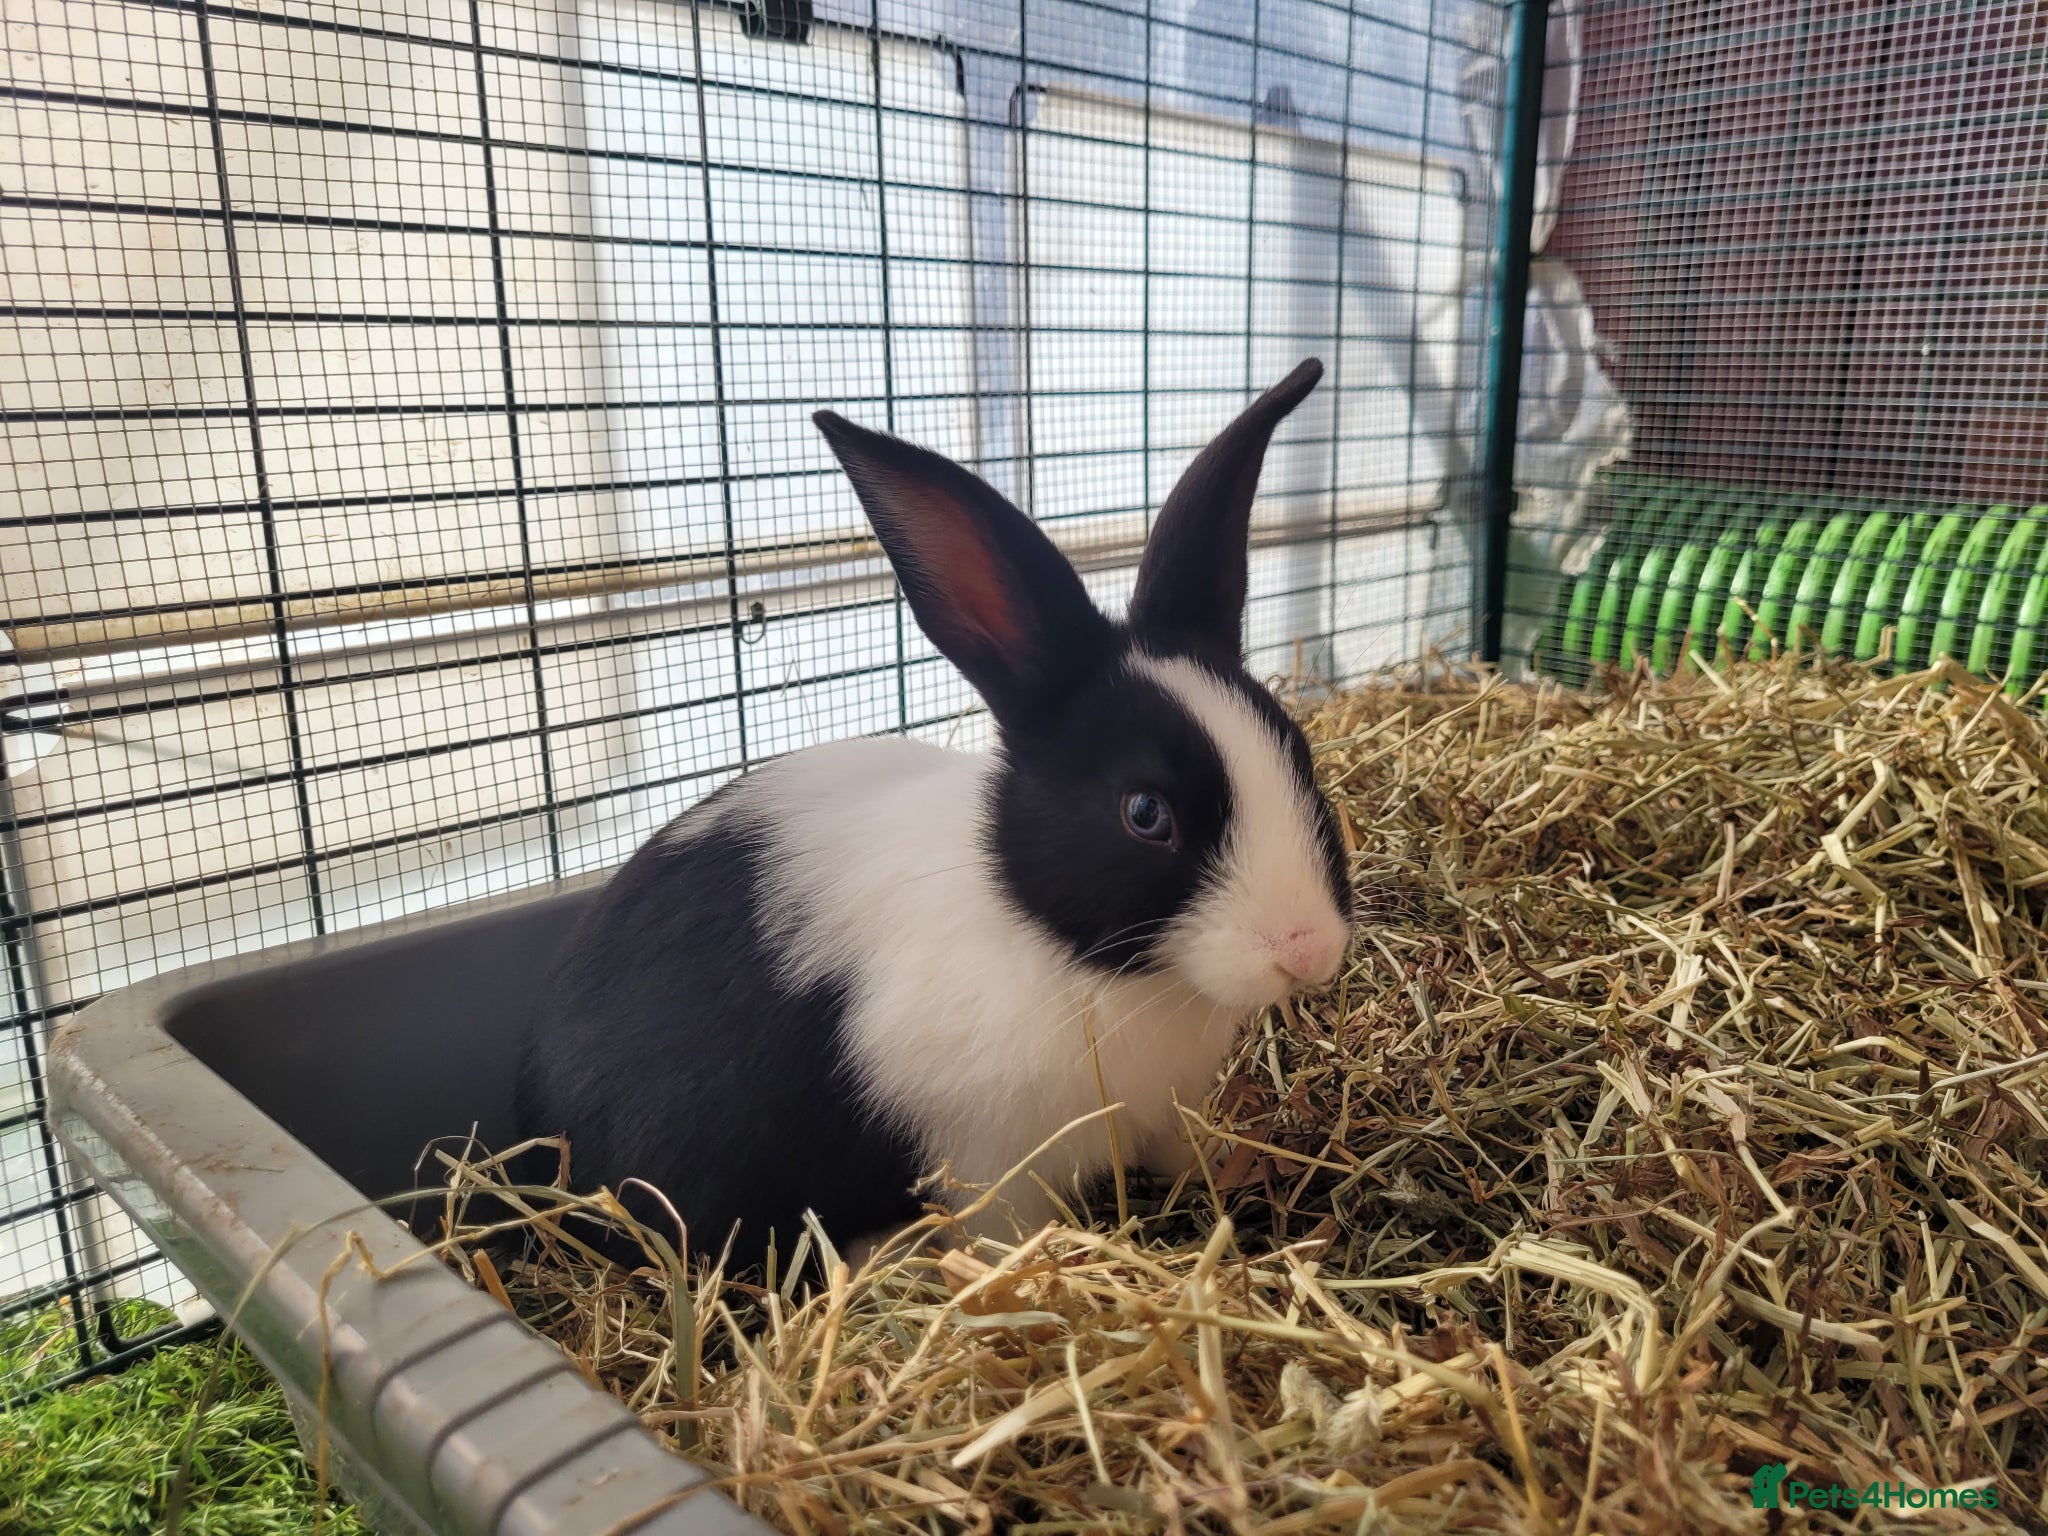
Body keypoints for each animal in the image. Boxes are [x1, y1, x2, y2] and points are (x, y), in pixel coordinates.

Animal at [513, 357, 1355, 1271]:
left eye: (1299, 754)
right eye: (1144, 811)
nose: (1308, 951)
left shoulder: (1164, 1109)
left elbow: (1178, 1153)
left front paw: (1232, 1172)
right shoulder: (987, 1162)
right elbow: (1004, 1233)